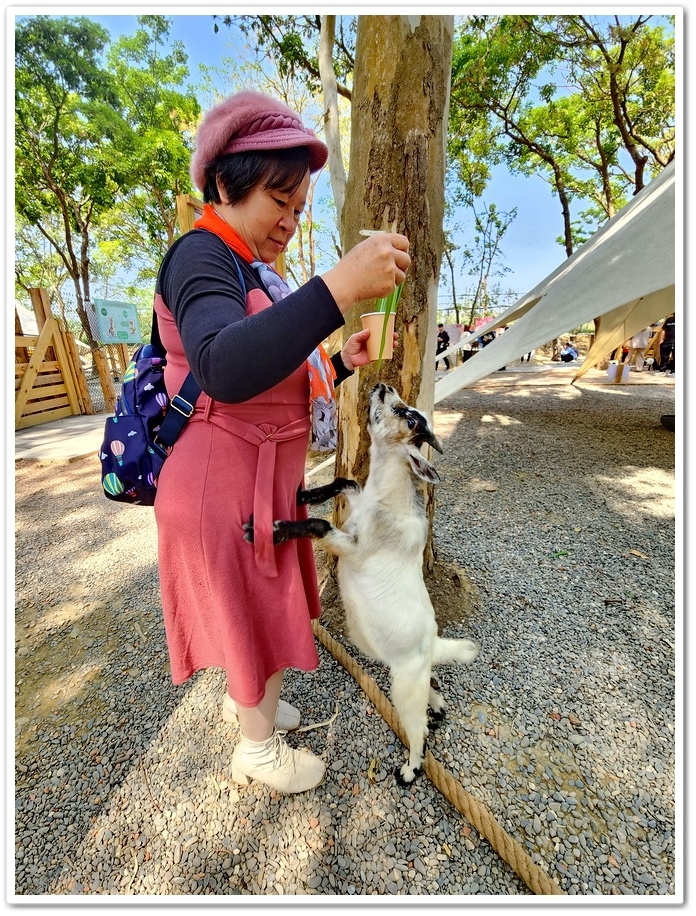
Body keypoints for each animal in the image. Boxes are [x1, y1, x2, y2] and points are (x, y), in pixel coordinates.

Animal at [245, 382, 478, 784]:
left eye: (410, 417)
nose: (383, 386)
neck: (385, 502)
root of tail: (432, 644)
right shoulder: (356, 504)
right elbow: (347, 480)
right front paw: (305, 493)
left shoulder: (354, 548)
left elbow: (321, 525)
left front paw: (273, 530)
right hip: (401, 666)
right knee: (430, 693)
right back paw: (437, 709)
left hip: (403, 687)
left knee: (416, 727)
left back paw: (410, 769)